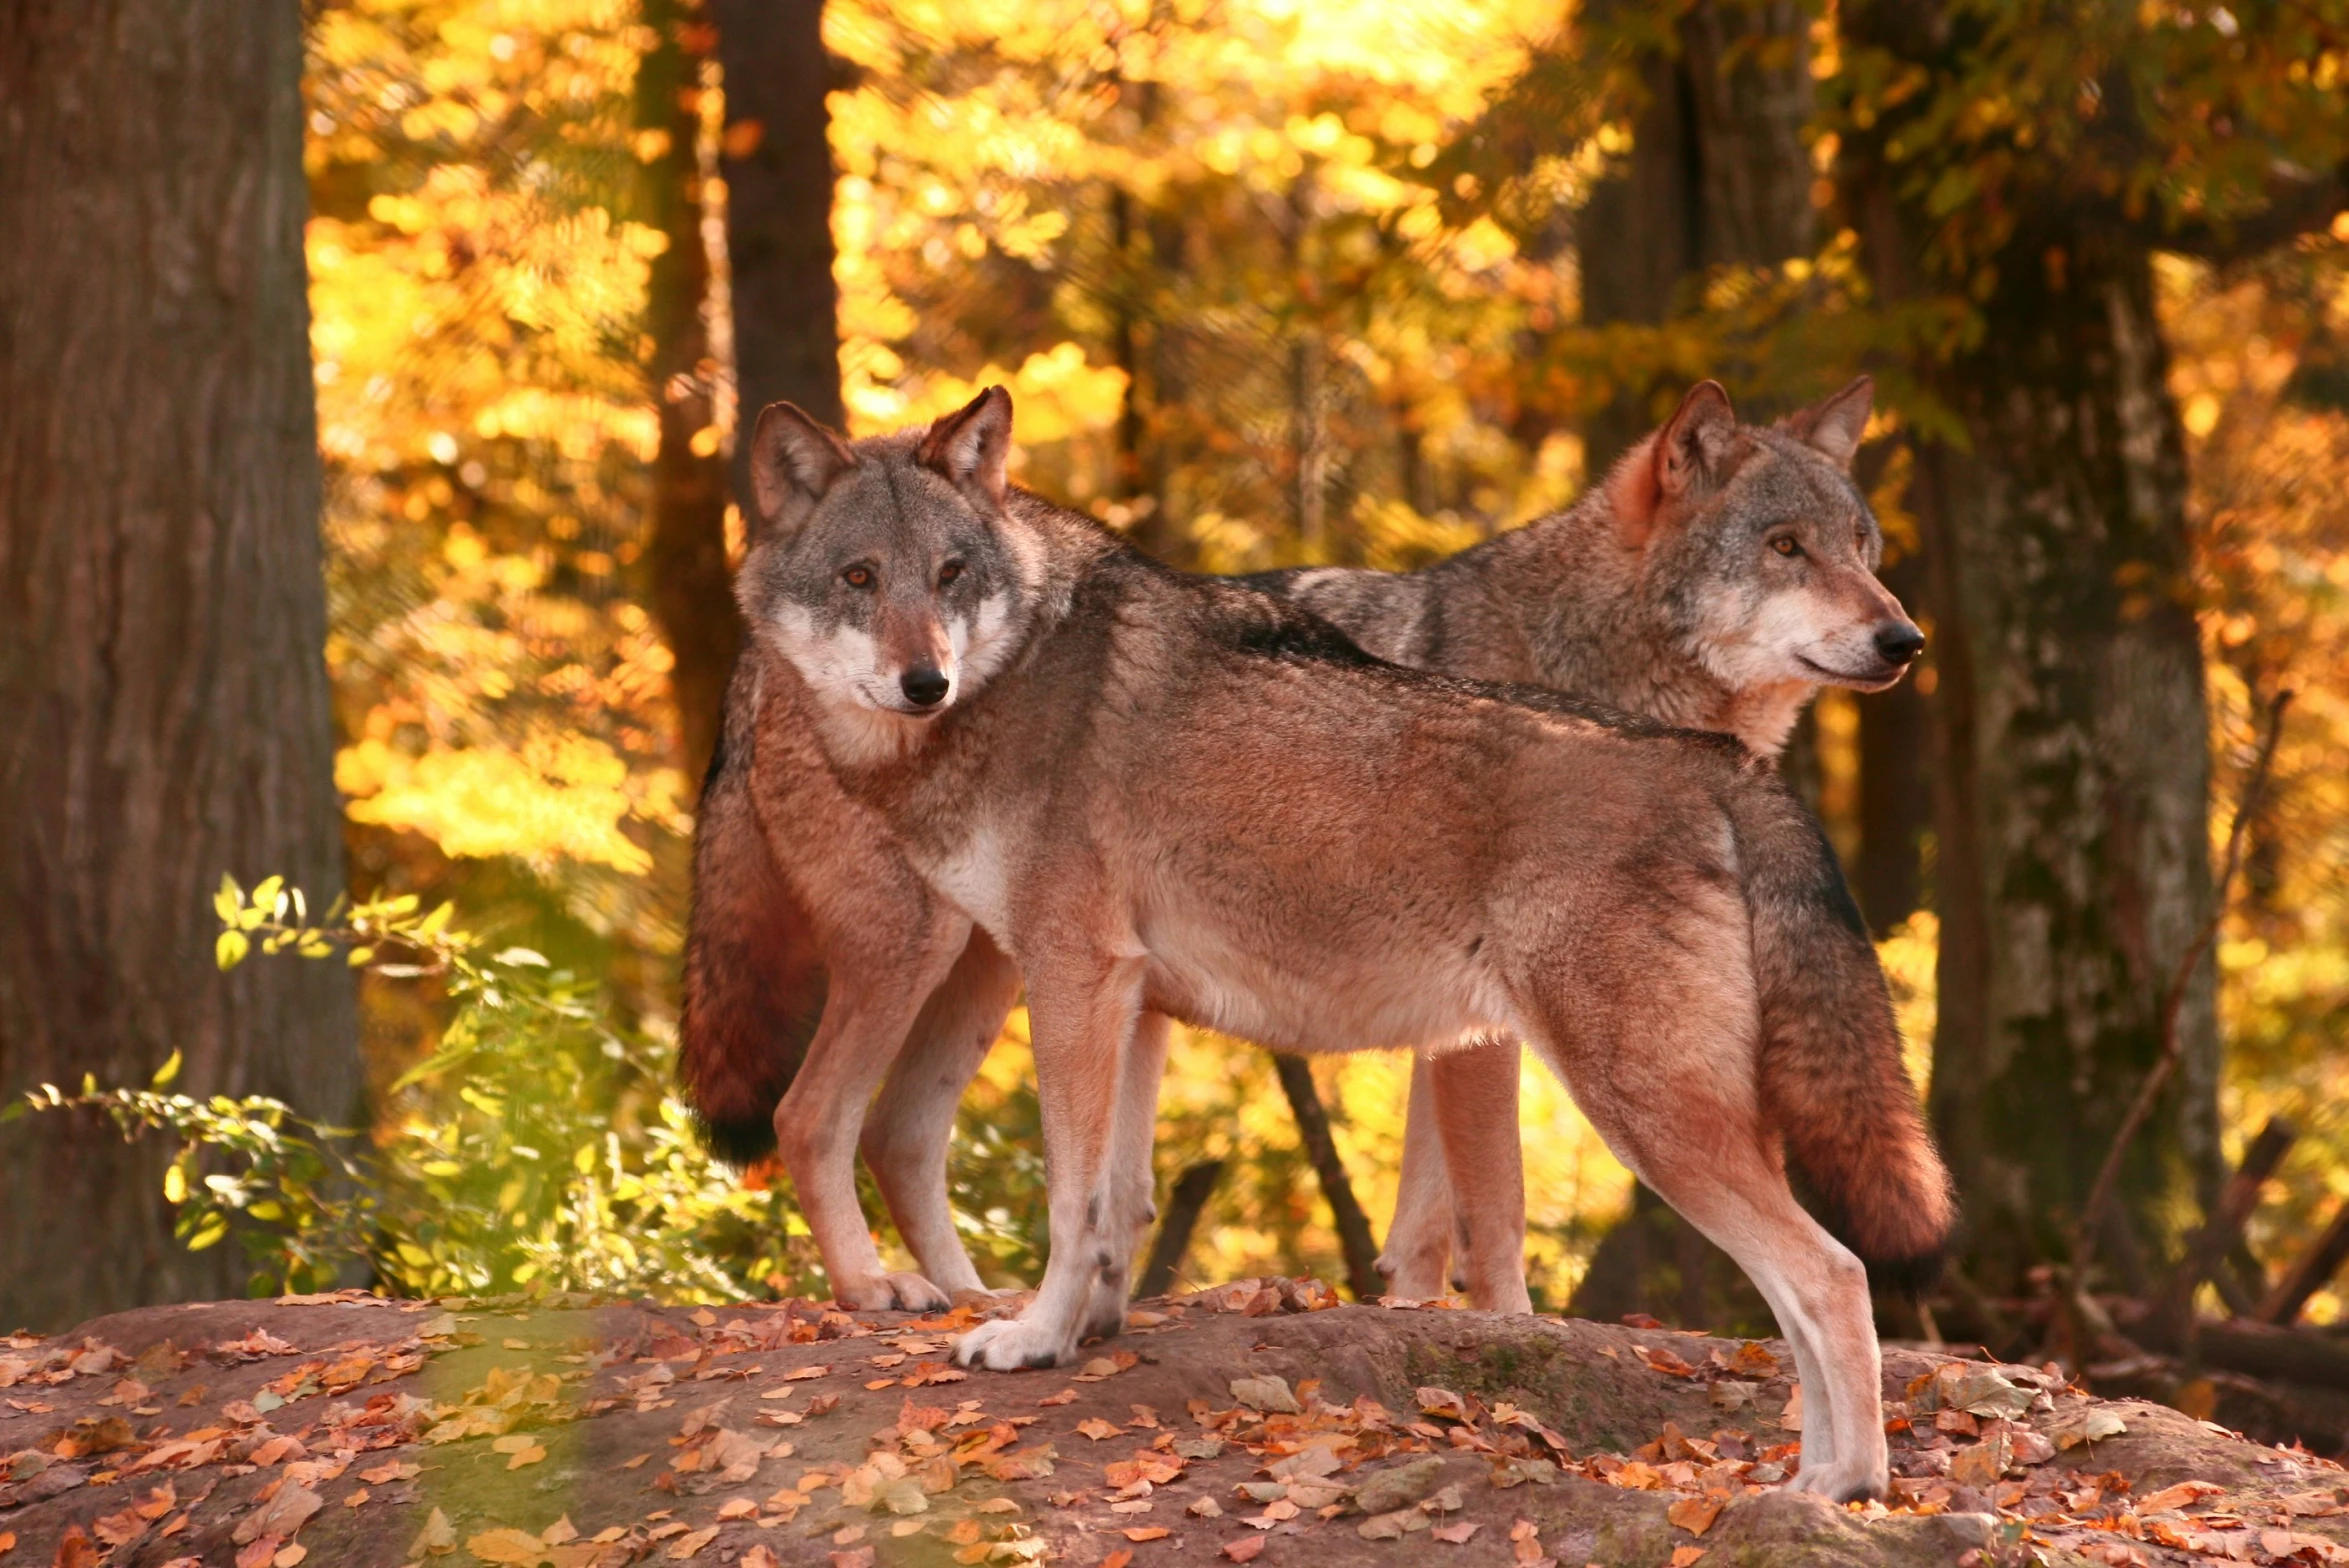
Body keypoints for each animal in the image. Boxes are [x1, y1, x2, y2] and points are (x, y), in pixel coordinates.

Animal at [718, 384, 1963, 1502]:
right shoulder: (1127, 996)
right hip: (946, 967)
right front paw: (1085, 1327)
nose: (922, 679)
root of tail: (1720, 762)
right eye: (860, 578)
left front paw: (1033, 1339)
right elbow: (1123, 1199)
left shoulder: (1085, 979)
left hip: (1643, 1108)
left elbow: (1081, 1199)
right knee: (853, 1121)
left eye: (951, 575)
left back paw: (1843, 1489)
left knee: (1832, 1273)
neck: (1019, 671)